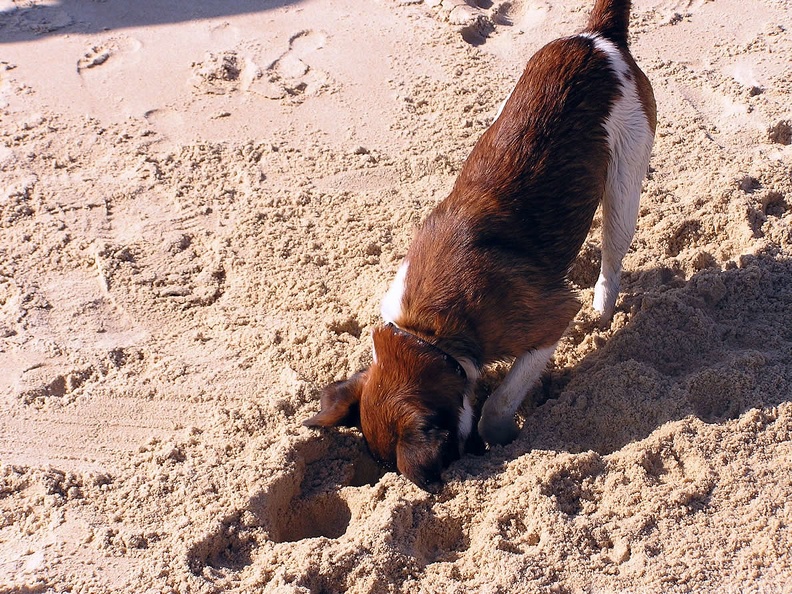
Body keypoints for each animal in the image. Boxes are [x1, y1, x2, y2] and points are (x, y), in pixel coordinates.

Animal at [304, 0, 656, 490]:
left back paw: (602, 312)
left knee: (611, 258)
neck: (425, 333)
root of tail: (596, 39)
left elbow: (494, 406)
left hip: (624, 186)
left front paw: (500, 436)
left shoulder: (550, 321)